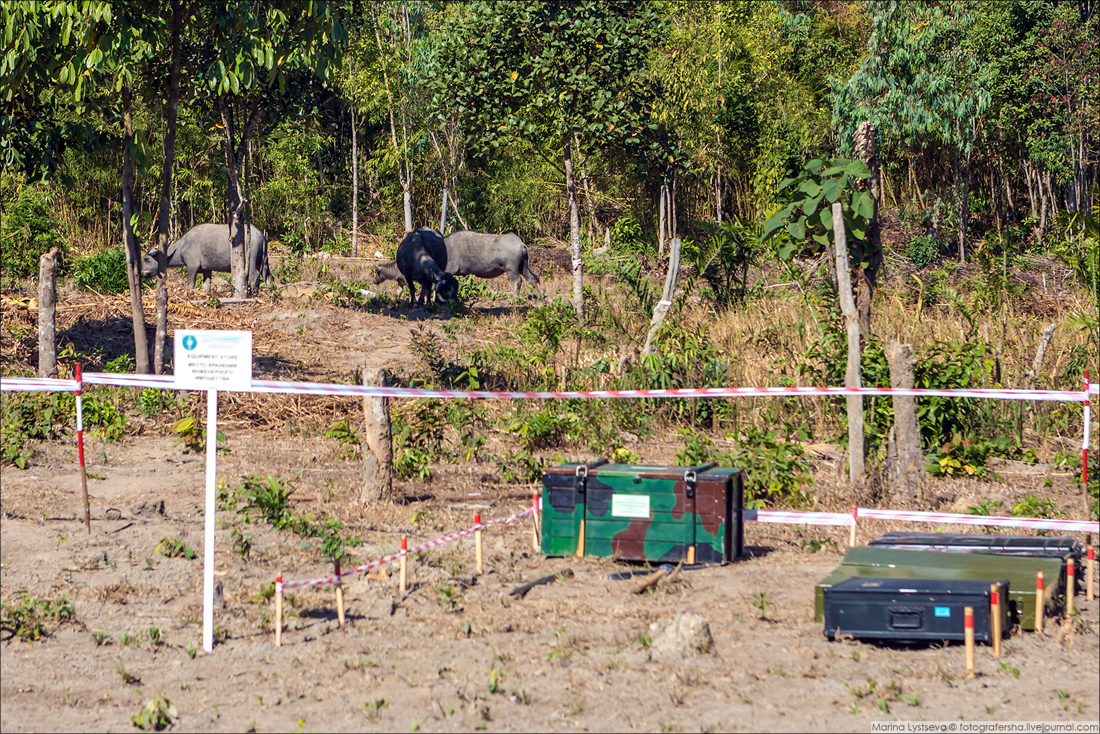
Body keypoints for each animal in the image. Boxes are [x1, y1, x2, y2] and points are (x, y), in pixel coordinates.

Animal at [140, 224, 271, 292]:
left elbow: (190, 284)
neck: (183, 247)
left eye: (146, 259)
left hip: (251, 263)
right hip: (263, 262)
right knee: (268, 277)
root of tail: (261, 235)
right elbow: (206, 287)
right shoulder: (207, 269)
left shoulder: (192, 267)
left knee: (254, 278)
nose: (142, 273)